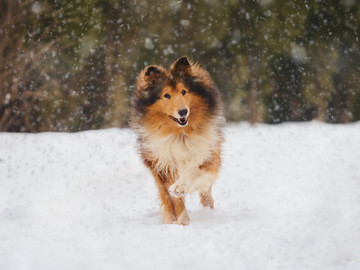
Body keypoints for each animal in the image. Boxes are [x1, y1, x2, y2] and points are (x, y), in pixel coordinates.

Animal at [131, 56, 224, 225]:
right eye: (166, 95)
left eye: (184, 92)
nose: (183, 112)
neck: (180, 135)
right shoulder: (163, 166)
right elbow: (174, 201)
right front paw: (182, 221)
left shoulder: (209, 156)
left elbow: (193, 170)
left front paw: (180, 187)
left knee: (206, 193)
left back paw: (209, 212)